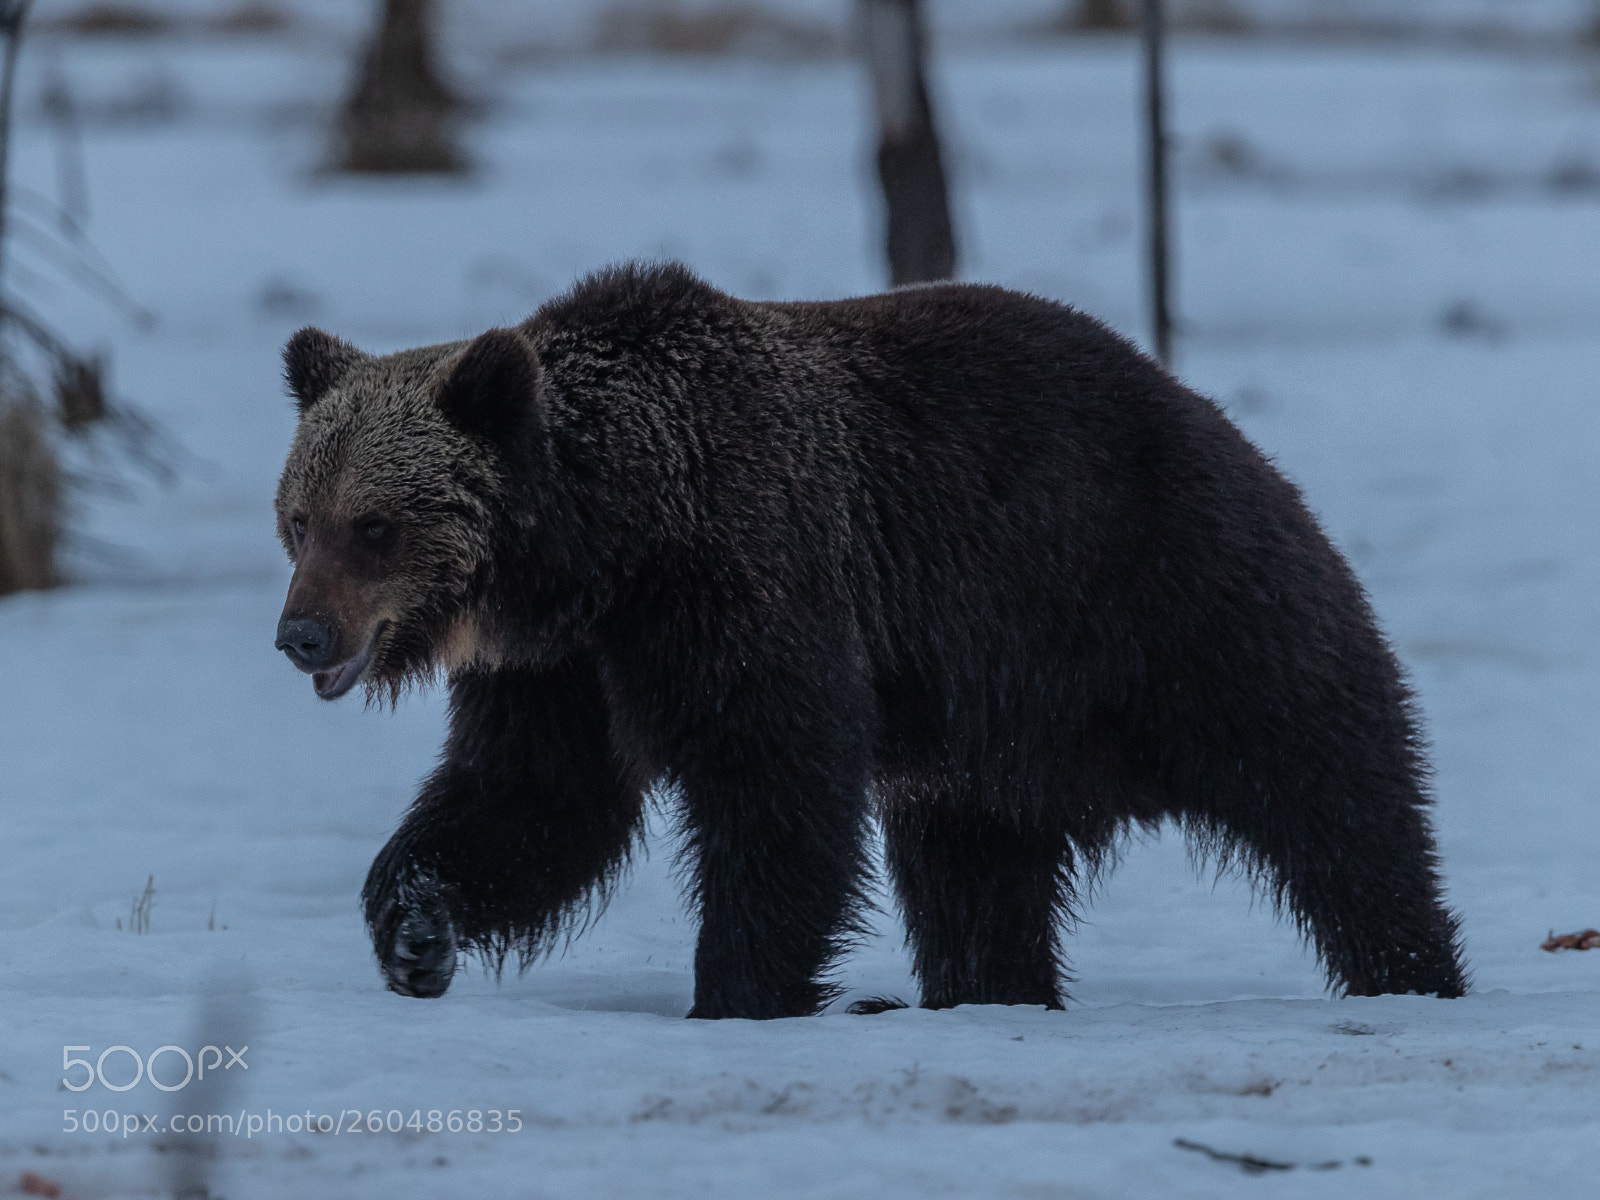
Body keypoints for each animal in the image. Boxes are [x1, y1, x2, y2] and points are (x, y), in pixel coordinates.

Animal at [273, 261, 1468, 1019]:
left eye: (372, 525)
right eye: (297, 518)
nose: (299, 634)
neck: (609, 541)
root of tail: (1209, 412)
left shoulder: (749, 575)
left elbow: (776, 780)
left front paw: (738, 990)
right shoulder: (558, 667)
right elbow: (532, 798)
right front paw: (415, 932)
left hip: (1166, 596)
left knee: (1330, 788)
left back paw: (1411, 966)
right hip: (991, 744)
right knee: (976, 878)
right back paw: (991, 989)